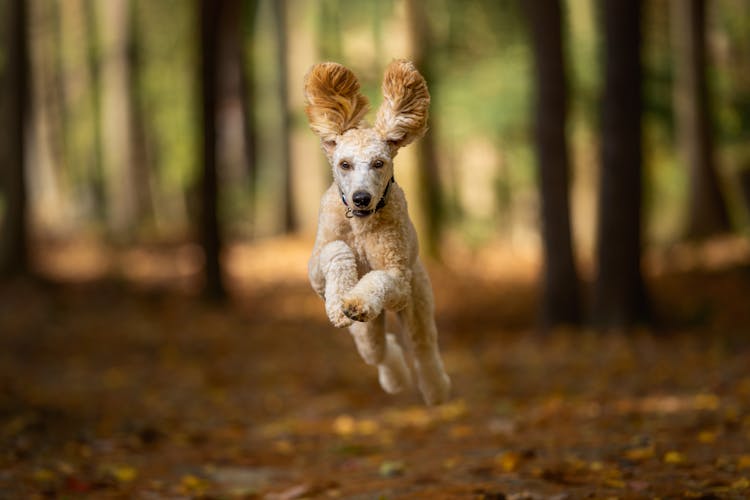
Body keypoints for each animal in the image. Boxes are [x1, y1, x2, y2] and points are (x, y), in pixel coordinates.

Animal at [302, 59, 450, 406]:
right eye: (344, 164)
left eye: (379, 163)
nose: (360, 197)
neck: (360, 224)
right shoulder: (316, 272)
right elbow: (336, 251)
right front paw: (340, 303)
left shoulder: (398, 281)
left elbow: (380, 278)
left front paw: (356, 300)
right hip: (367, 333)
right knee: (381, 351)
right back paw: (394, 377)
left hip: (417, 303)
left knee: (422, 349)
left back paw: (436, 391)